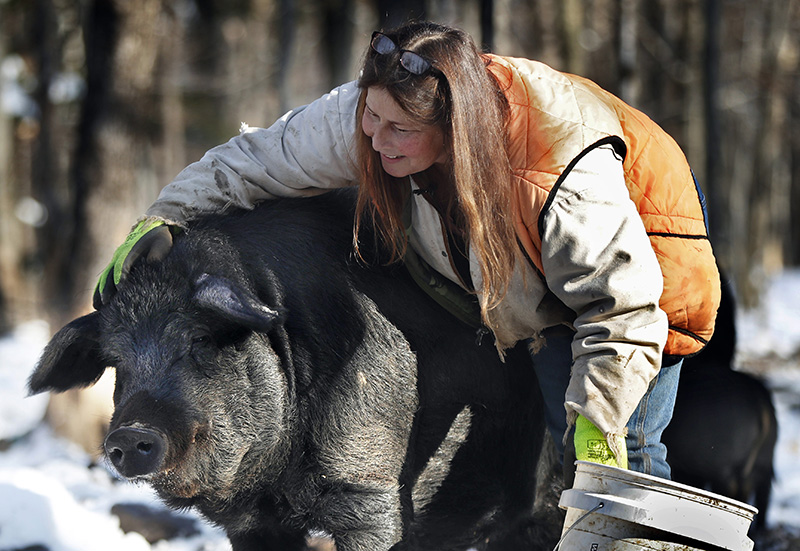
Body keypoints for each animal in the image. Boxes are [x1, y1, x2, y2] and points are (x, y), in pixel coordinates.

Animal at [28, 189, 547, 551]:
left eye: (199, 341)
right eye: (117, 361)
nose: (130, 434)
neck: (282, 483)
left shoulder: (371, 486)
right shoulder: (251, 522)